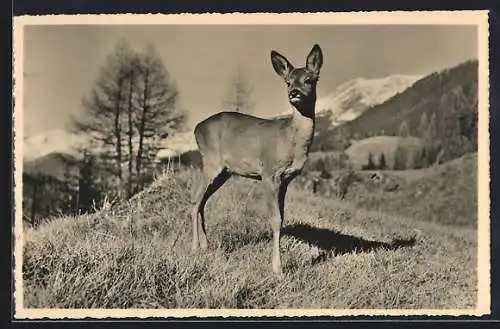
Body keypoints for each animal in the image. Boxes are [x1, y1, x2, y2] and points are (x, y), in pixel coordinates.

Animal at [190, 43, 324, 274]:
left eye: (309, 79)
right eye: (288, 82)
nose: (294, 93)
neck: (290, 139)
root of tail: (197, 128)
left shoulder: (285, 179)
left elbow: (282, 218)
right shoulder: (269, 173)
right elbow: (275, 219)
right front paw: (277, 269)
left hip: (224, 172)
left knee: (202, 201)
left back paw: (206, 245)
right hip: (211, 162)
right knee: (195, 200)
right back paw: (194, 246)